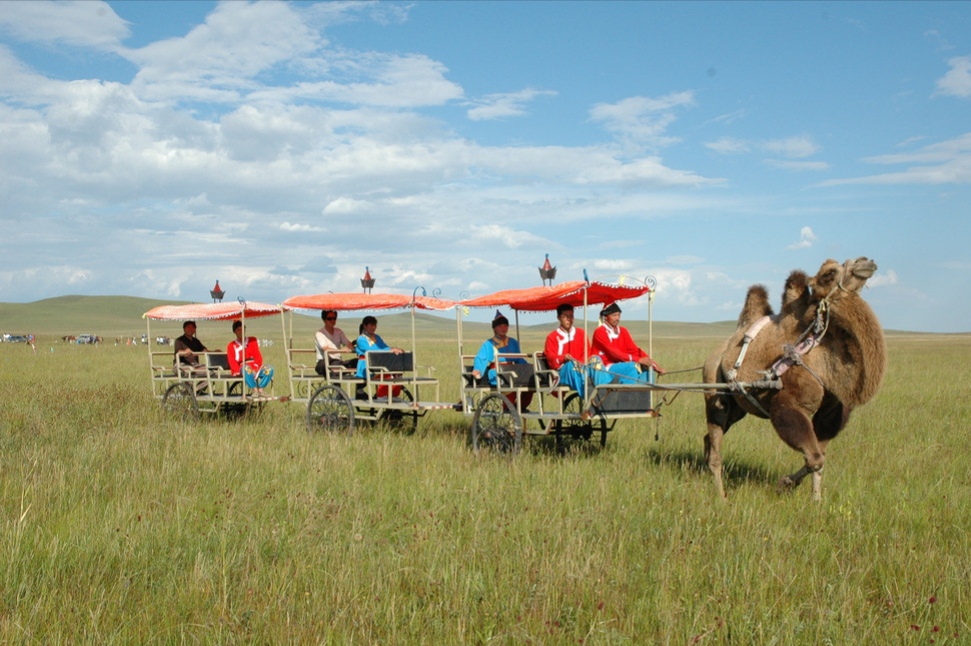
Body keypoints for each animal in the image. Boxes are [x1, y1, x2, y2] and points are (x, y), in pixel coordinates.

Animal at [704, 256, 892, 502]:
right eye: (829, 273)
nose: (865, 262)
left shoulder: (830, 412)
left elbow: (820, 457)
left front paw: (816, 500)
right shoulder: (790, 404)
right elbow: (814, 458)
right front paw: (785, 484)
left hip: (739, 408)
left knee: (709, 438)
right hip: (714, 389)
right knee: (716, 439)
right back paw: (721, 495)